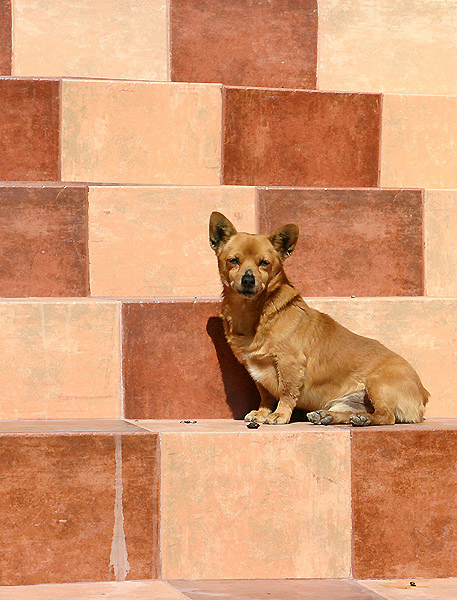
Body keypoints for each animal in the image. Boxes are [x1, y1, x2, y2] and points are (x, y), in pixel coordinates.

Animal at [208, 211, 430, 426]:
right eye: (233, 260)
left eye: (264, 263)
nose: (248, 279)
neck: (254, 313)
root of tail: (423, 393)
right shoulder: (256, 370)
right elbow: (266, 395)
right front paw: (262, 412)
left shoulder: (289, 363)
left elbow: (286, 392)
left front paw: (280, 415)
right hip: (346, 401)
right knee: (355, 413)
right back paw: (330, 416)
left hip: (377, 383)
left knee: (386, 416)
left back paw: (364, 420)